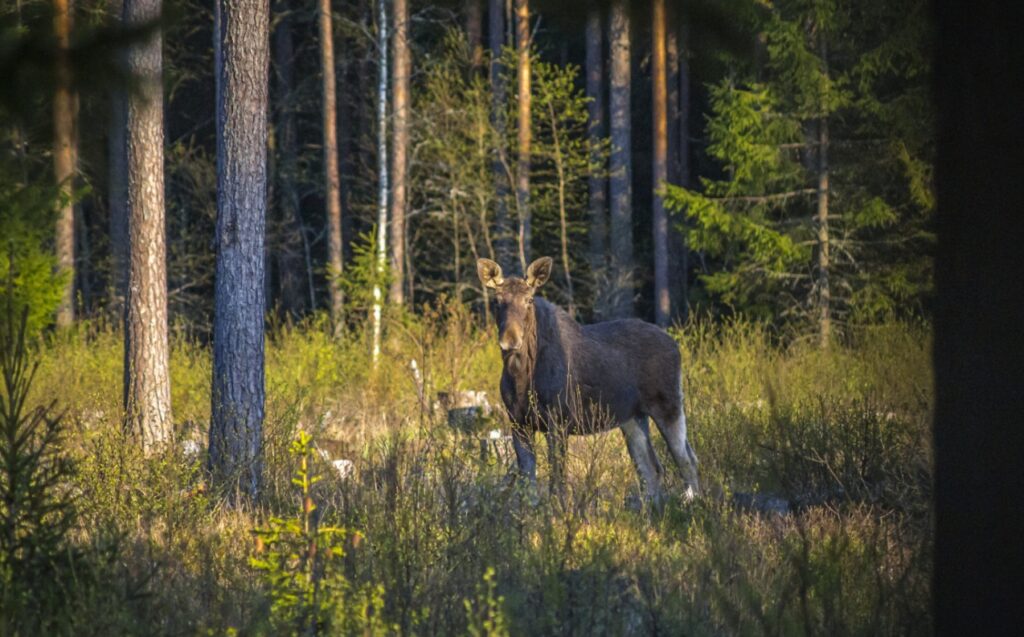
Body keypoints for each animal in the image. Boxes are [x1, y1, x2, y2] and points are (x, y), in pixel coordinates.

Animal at [475, 255, 700, 503]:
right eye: (497, 301)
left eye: (530, 299)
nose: (510, 340)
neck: (521, 375)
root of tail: (676, 345)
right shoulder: (518, 422)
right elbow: (528, 485)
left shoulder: (558, 422)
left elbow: (557, 482)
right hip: (632, 418)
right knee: (651, 468)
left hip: (668, 405)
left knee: (687, 459)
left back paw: (693, 503)